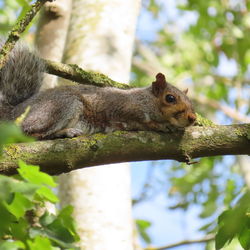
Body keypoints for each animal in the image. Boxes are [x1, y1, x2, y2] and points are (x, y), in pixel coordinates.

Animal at [0, 41, 195, 139]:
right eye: (170, 98)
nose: (192, 118)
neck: (145, 100)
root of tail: (13, 113)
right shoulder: (124, 109)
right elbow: (141, 122)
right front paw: (161, 126)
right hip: (61, 106)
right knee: (32, 133)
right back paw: (65, 132)